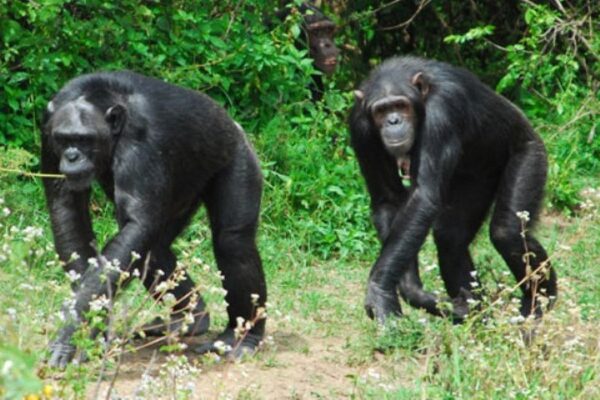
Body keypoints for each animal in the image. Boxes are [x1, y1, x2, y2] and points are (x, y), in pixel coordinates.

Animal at [42, 71, 268, 366]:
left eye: (85, 140)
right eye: (64, 138)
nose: (71, 156)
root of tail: (234, 124)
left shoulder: (142, 141)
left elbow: (137, 225)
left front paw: (74, 329)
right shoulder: (47, 135)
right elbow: (67, 211)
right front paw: (94, 328)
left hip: (238, 156)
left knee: (233, 242)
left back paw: (243, 337)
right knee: (155, 249)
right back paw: (190, 318)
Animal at [352, 56, 556, 324]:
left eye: (400, 105)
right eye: (380, 111)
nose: (393, 121)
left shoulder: (442, 110)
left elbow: (423, 198)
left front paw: (378, 290)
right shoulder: (359, 127)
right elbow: (389, 199)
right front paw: (411, 291)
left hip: (531, 153)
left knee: (508, 232)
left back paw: (540, 303)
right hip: (475, 181)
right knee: (451, 237)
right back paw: (476, 314)